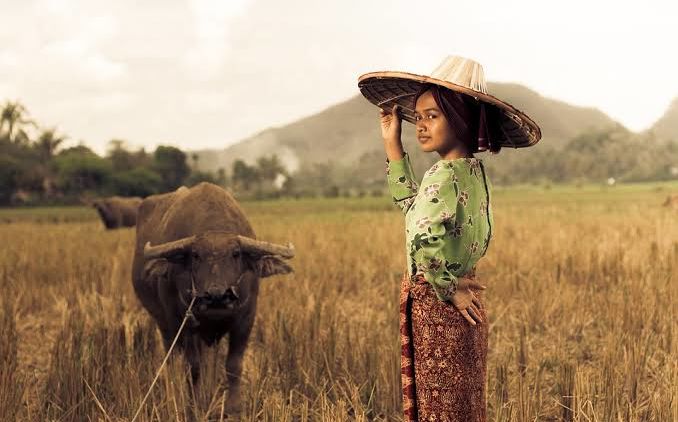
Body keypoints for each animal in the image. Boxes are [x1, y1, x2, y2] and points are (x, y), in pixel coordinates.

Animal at [131, 183, 294, 414]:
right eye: (196, 255)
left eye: (236, 253)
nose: (217, 295)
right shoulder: (182, 322)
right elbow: (193, 367)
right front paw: (194, 405)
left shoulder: (246, 319)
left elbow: (233, 365)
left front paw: (234, 408)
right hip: (165, 325)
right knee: (172, 357)